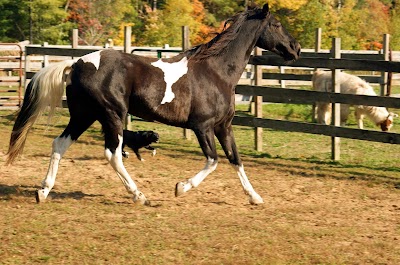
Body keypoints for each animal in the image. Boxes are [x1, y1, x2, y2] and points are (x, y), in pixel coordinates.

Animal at [6, 3, 300, 204]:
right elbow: (213, 160)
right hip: (112, 114)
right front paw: (181, 187)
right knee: (113, 153)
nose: (295, 48)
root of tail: (77, 62)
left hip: (84, 115)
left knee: (60, 144)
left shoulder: (223, 127)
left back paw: (43, 191)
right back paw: (139, 195)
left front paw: (255, 197)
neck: (216, 72)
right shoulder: (202, 126)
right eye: (276, 24)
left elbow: (235, 159)